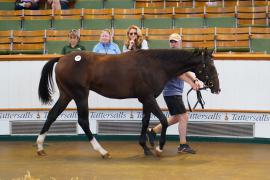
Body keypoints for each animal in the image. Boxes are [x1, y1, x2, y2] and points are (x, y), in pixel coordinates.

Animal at [37, 48, 220, 158]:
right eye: (210, 66)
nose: (217, 88)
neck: (155, 65)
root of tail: (62, 59)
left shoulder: (146, 99)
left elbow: (145, 122)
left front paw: (145, 147)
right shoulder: (148, 97)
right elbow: (163, 120)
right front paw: (159, 148)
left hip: (66, 95)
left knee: (52, 115)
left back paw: (40, 147)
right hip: (80, 95)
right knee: (83, 121)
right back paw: (102, 151)